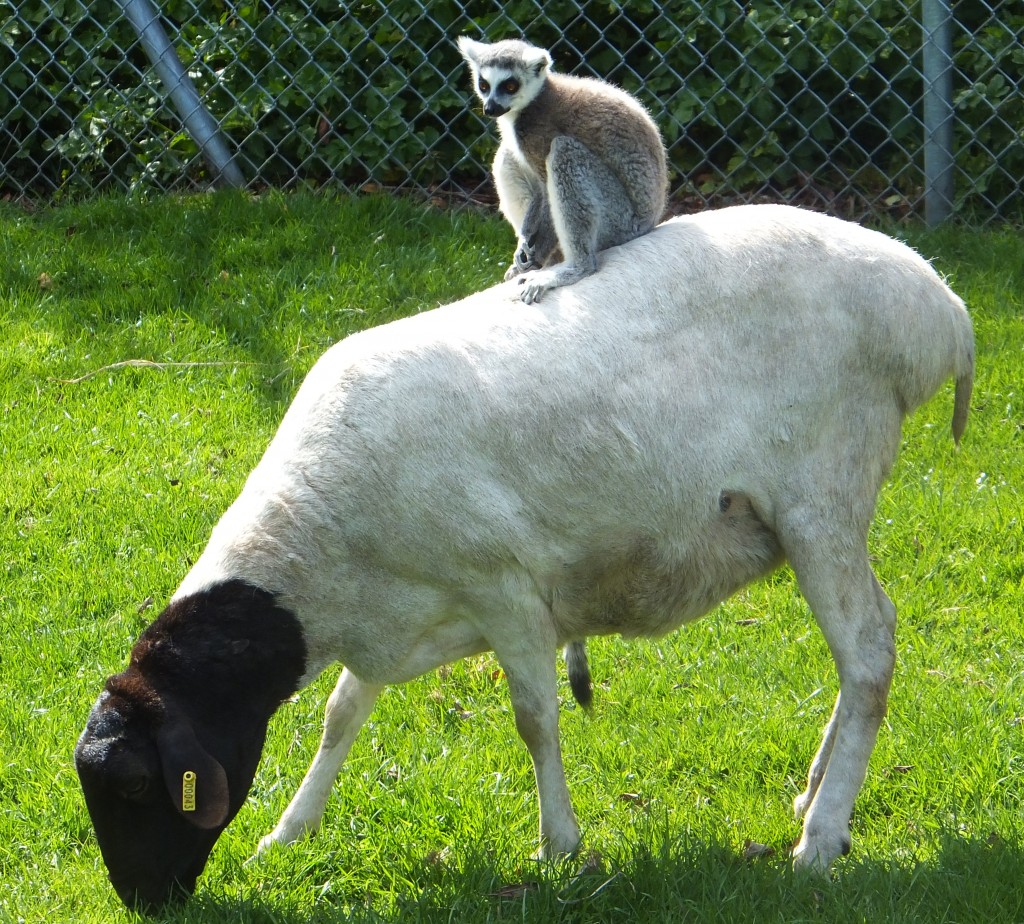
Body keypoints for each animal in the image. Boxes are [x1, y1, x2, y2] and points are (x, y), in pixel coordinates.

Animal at [75, 204, 970, 909]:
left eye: (133, 786)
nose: (142, 903)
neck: (316, 543)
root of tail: (939, 305)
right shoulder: (397, 614)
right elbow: (342, 715)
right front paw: (290, 833)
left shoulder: (504, 588)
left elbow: (534, 720)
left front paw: (559, 847)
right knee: (861, 654)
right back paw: (815, 801)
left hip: (824, 495)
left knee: (868, 652)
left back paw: (820, 840)